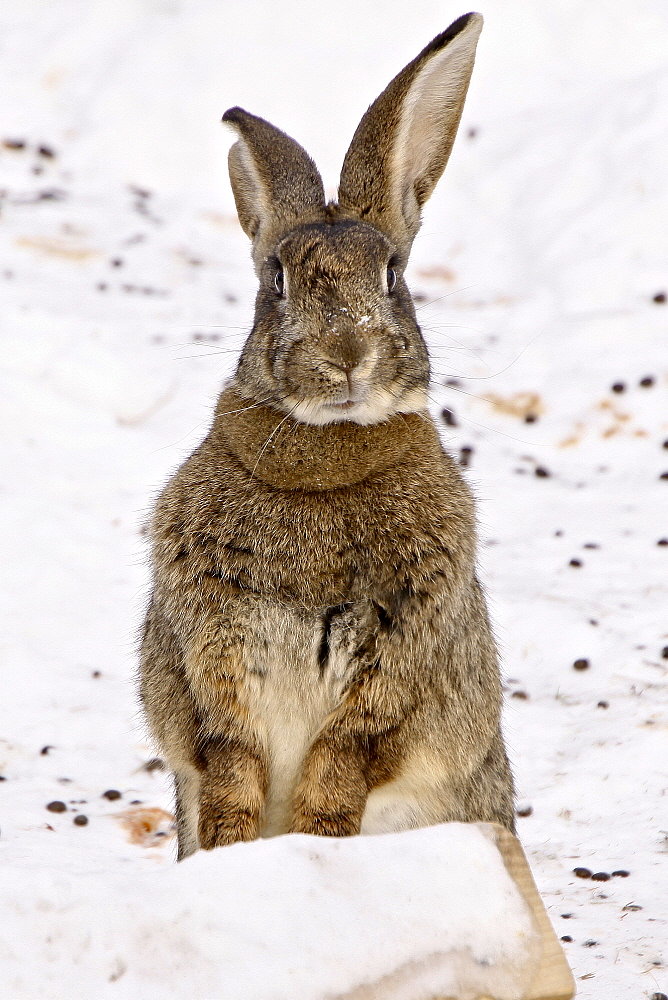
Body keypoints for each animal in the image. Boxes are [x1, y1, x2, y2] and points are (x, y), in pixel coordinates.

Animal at [140, 11, 516, 864]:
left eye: (393, 277)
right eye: (277, 279)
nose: (347, 353)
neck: (325, 452)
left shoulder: (399, 656)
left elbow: (346, 756)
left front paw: (317, 839)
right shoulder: (210, 649)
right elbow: (229, 755)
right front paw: (235, 845)